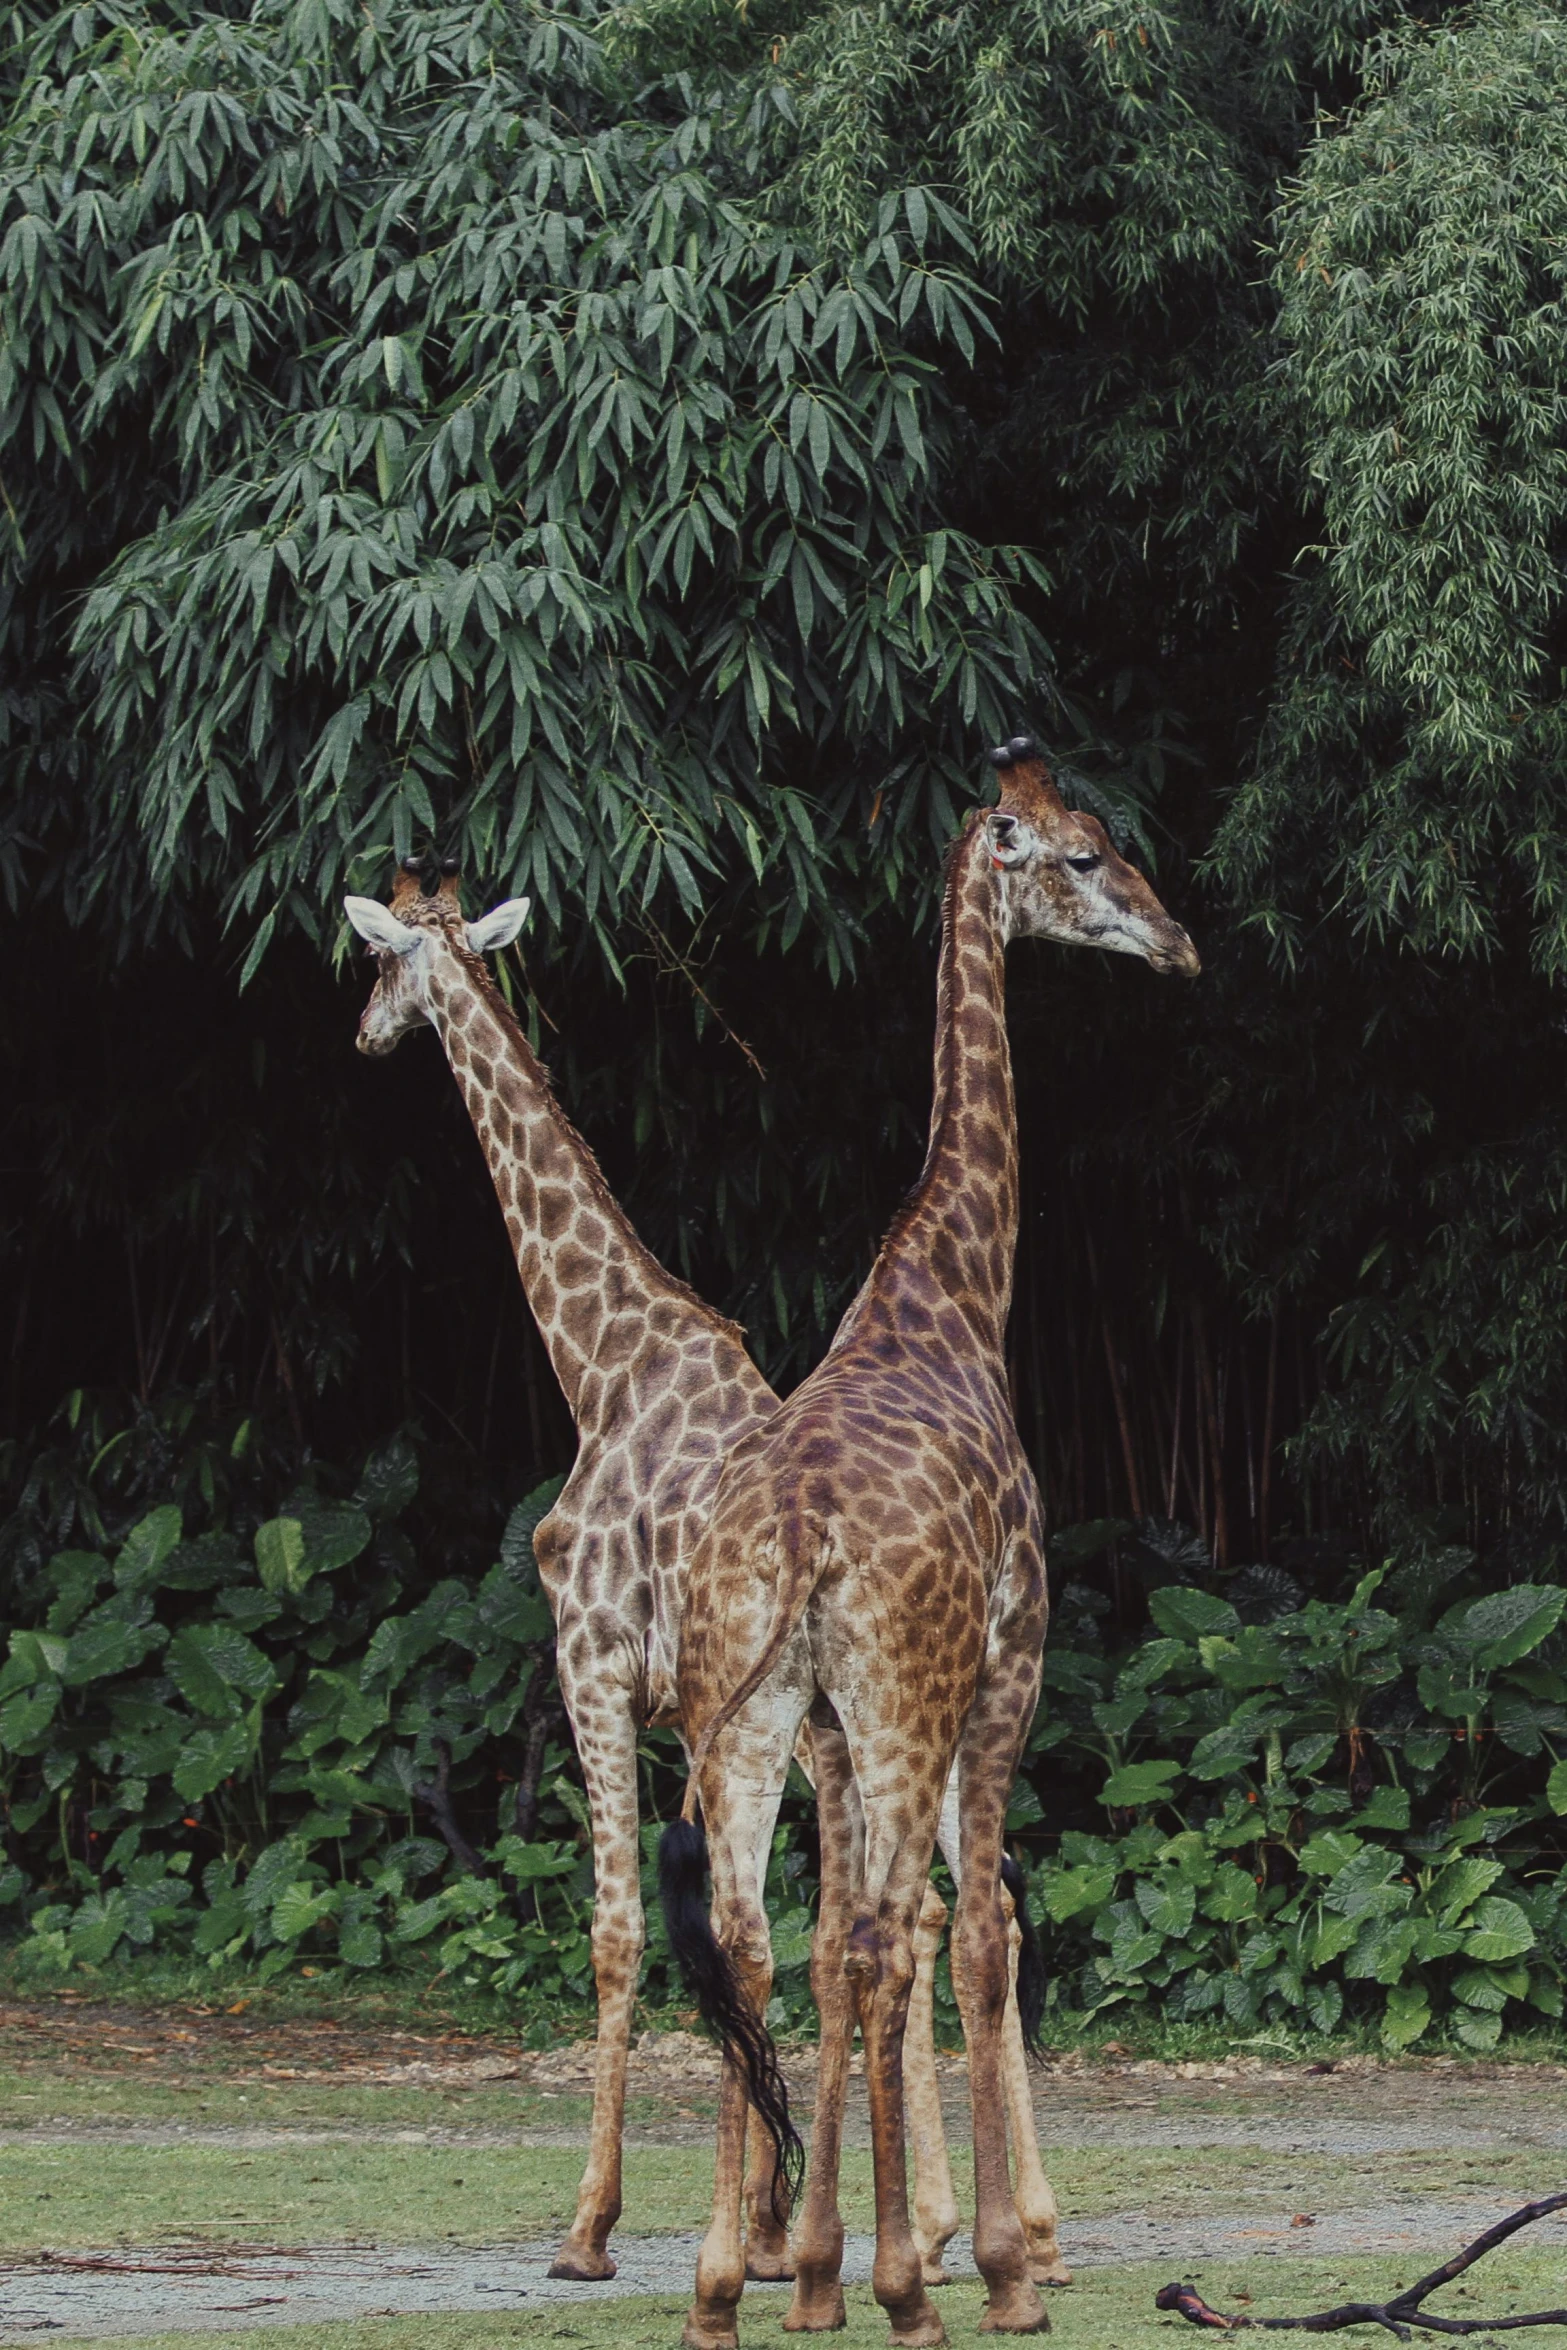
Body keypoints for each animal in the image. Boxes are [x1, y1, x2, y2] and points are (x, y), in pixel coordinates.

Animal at [345, 855, 1066, 2284]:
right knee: (945, 1904)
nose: (363, 1032)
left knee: (912, 1912)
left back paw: (949, 2226)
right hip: (858, 1718)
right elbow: (736, 1937)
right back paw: (979, 2227)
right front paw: (774, 2220)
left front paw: (595, 2226)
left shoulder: (598, 1667)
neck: (604, 1367)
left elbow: (626, 1933)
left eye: (381, 959)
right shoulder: (702, 1714)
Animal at [662, 737, 1202, 2350]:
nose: (1176, 939)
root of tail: (786, 1537)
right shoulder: (1005, 1668)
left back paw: (722, 2286)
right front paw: (1001, 2264)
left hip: (745, 1712)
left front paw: (821, 2264)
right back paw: (908, 2291)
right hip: (904, 1700)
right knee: (881, 1934)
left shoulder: (837, 1730)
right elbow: (969, 1931)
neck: (951, 1293)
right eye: (1083, 854)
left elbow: (862, 1939)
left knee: (751, 1935)